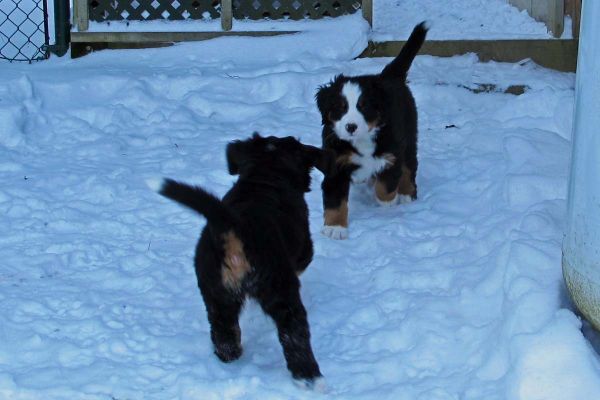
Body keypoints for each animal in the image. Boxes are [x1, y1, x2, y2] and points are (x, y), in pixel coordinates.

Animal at [152, 134, 332, 388]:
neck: (265, 173)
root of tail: (232, 226)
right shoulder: (304, 250)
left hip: (215, 292)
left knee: (224, 332)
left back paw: (230, 357)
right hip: (279, 288)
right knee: (294, 335)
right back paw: (311, 379)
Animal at [316, 21, 428, 239]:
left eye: (364, 107)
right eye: (340, 108)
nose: (351, 126)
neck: (362, 140)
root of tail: (389, 76)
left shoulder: (392, 154)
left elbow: (385, 186)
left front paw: (387, 203)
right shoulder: (336, 164)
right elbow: (335, 200)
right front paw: (335, 228)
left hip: (409, 136)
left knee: (410, 166)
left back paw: (407, 194)